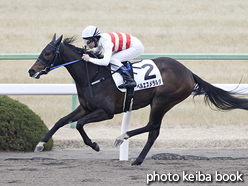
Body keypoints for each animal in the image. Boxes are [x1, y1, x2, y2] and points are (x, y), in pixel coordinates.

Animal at [28, 34, 248, 165]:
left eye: (48, 52)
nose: (31, 71)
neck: (93, 75)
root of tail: (188, 72)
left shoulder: (106, 112)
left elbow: (80, 124)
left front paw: (95, 145)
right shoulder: (85, 107)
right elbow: (61, 121)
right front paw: (40, 144)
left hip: (162, 101)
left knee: (152, 127)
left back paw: (122, 138)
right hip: (162, 103)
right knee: (154, 131)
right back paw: (137, 159)